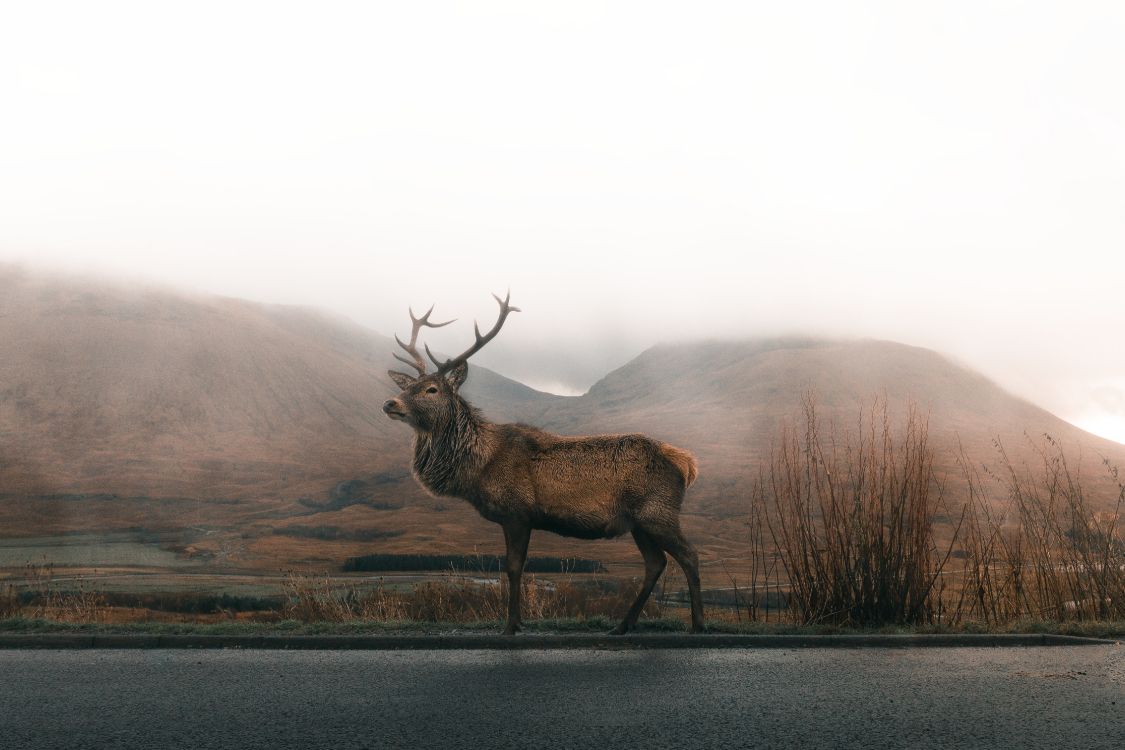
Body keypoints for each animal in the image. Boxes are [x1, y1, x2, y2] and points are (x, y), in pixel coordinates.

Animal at [381, 292, 704, 635]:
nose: (390, 403)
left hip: (658, 511)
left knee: (689, 555)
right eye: (406, 387)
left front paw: (510, 625)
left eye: (432, 389)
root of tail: (686, 463)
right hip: (638, 522)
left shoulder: (517, 512)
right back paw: (622, 625)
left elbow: (513, 568)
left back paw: (697, 624)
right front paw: (519, 621)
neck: (478, 469)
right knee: (656, 563)